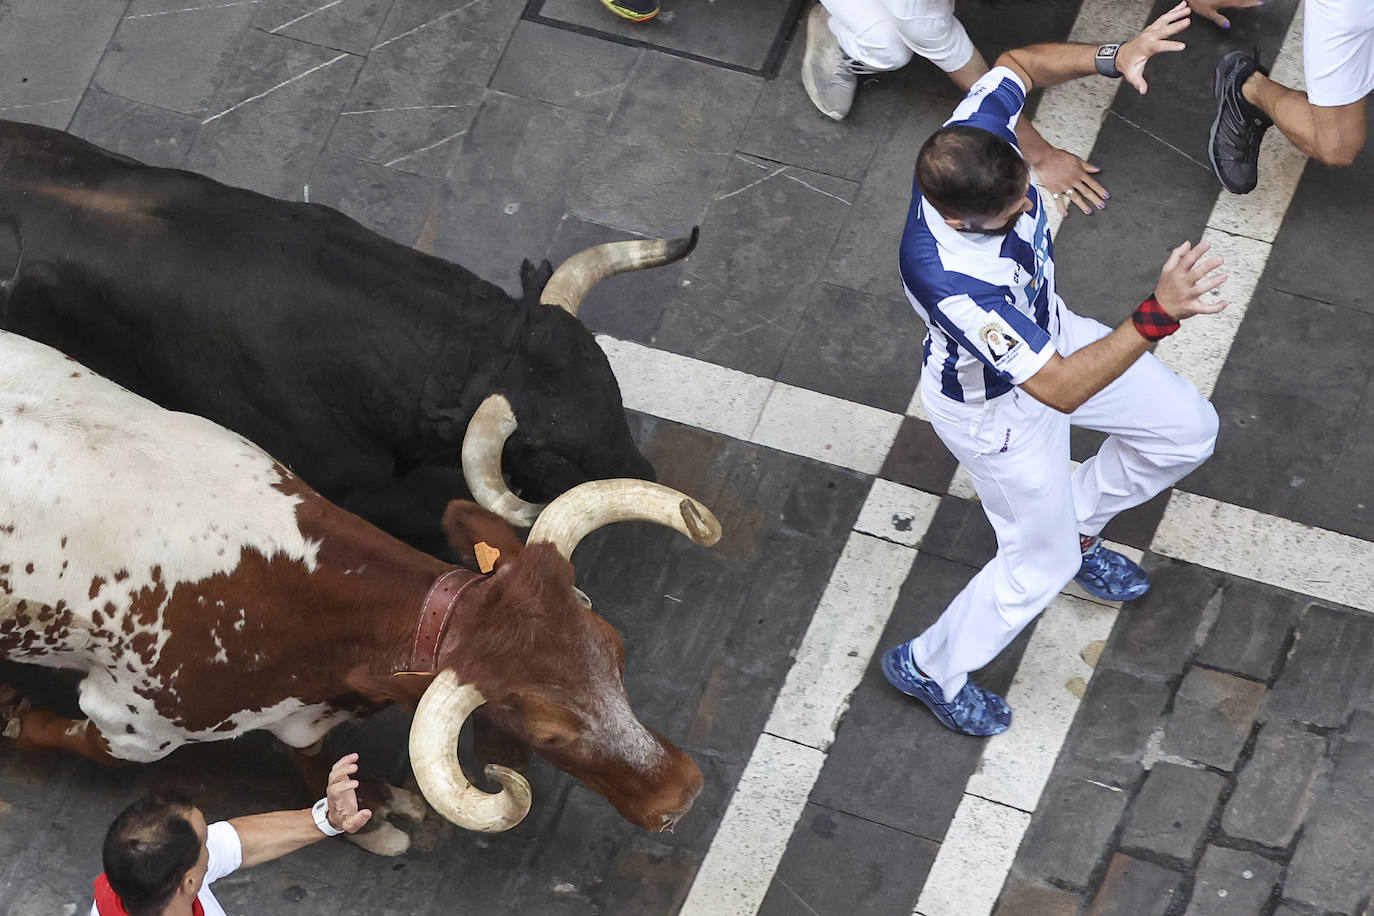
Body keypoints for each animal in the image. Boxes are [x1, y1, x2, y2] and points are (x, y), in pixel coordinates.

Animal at [0, 328, 714, 851]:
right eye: (549, 734)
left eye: (616, 653)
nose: (681, 795)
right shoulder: (129, 722)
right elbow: (81, 743)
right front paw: (15, 718)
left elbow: (314, 755)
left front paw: (367, 803)